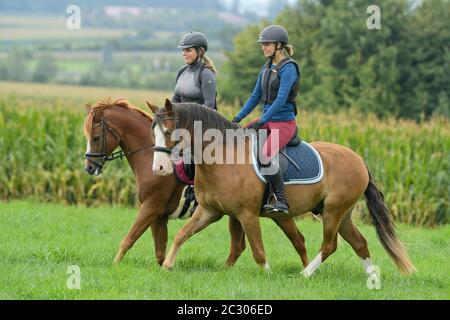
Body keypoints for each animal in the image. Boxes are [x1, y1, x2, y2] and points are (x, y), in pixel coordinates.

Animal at [83, 98, 310, 268]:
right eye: (152, 133)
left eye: (96, 137)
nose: (89, 167)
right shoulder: (159, 216)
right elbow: (159, 251)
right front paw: (164, 265)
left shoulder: (151, 207)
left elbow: (129, 239)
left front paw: (115, 265)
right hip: (236, 214)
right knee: (240, 246)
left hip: (272, 214)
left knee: (297, 240)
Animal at [149, 100, 416, 278]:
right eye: (154, 131)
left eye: (169, 131)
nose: (159, 168)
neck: (224, 157)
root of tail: (358, 159)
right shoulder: (210, 211)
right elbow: (183, 234)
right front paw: (167, 265)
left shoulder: (247, 214)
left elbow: (258, 250)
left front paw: (267, 275)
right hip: (343, 214)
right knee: (359, 243)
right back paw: (372, 278)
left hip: (333, 212)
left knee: (329, 245)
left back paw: (305, 274)